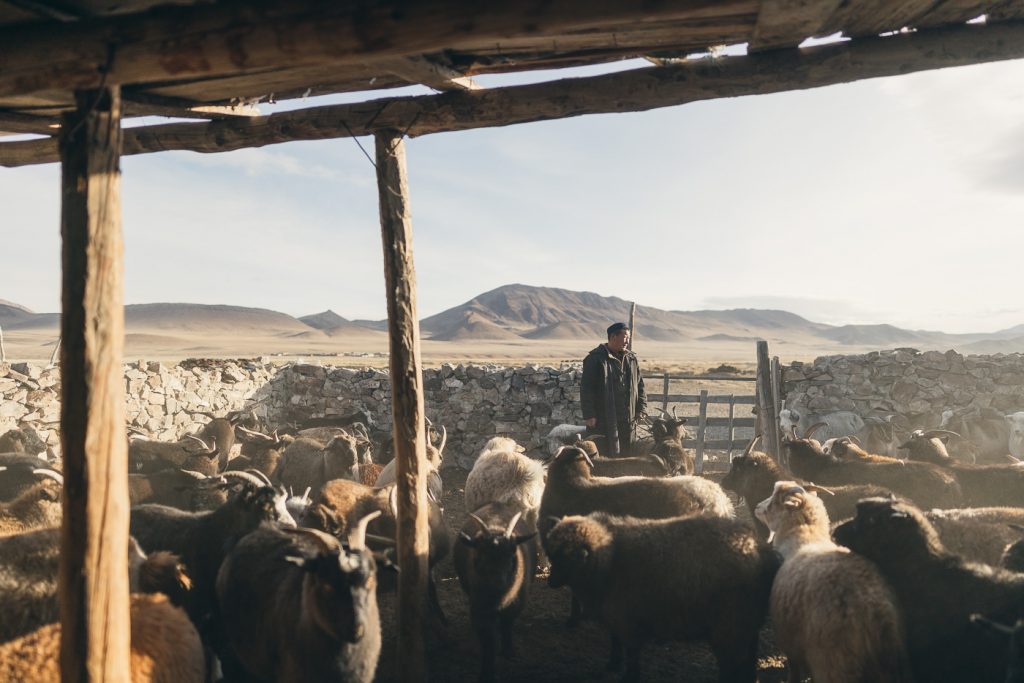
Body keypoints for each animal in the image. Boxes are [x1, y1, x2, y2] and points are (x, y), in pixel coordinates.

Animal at [757, 481, 917, 683]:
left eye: (774, 500)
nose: (757, 507)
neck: (804, 537)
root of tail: (877, 615)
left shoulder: (789, 637)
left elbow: (794, 671)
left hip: (834, 661)